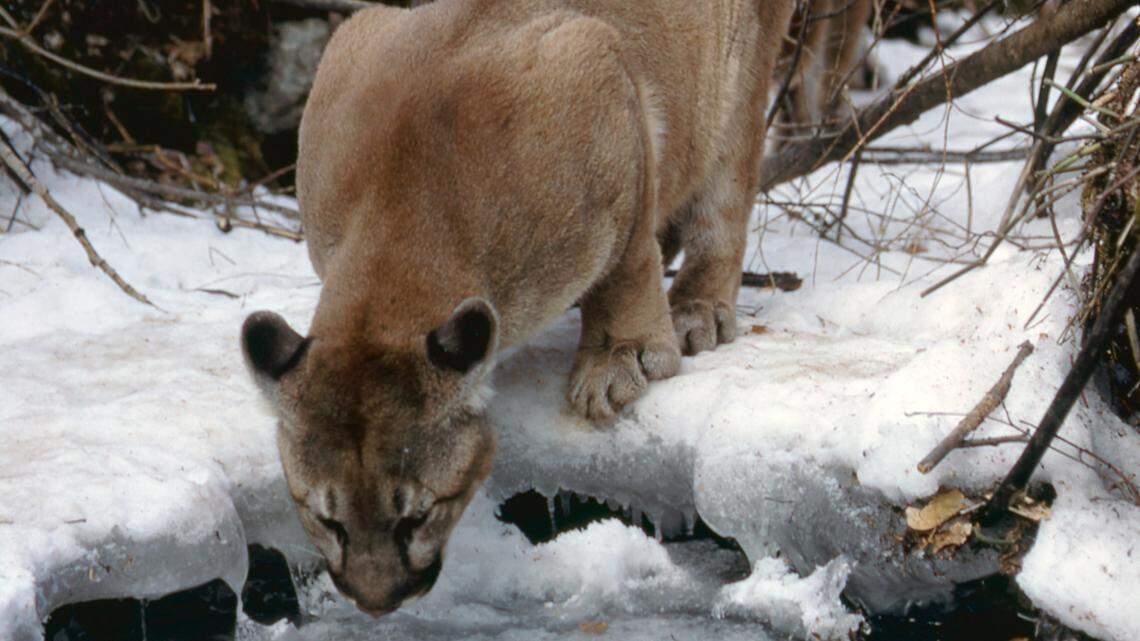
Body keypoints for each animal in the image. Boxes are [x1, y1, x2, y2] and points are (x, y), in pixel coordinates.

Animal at [242, 0, 795, 616]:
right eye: (328, 520)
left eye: (417, 516)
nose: (376, 602)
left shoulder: (598, 70)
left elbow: (626, 263)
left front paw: (620, 357)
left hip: (738, 72)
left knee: (727, 189)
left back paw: (698, 307)